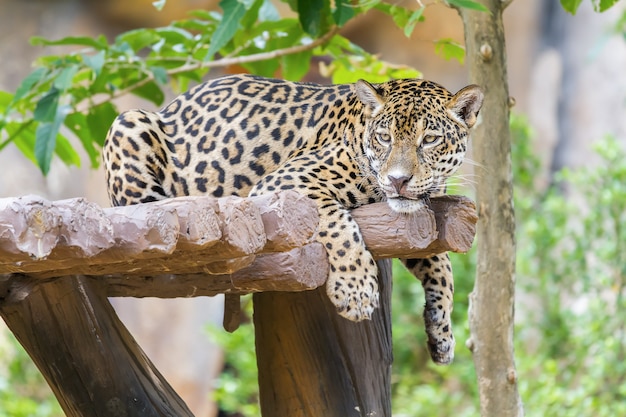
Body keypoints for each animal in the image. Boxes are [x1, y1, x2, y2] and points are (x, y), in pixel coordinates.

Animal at [103, 75, 482, 364]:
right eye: (384, 137)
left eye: (429, 139)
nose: (398, 180)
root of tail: (170, 106)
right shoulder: (288, 181)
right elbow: (336, 222)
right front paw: (356, 290)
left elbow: (441, 264)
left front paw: (442, 331)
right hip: (128, 122)